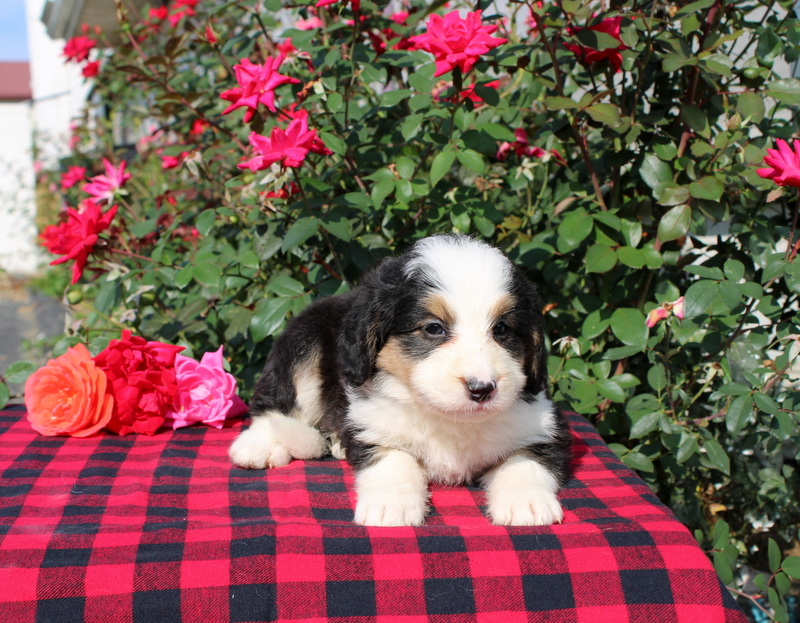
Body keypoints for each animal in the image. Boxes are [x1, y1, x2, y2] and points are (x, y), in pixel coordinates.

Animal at [228, 234, 572, 528]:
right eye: (433, 328)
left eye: (501, 329)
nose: (482, 389)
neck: (451, 421)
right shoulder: (372, 423)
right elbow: (394, 458)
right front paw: (390, 505)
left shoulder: (541, 424)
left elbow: (526, 458)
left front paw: (526, 503)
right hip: (303, 342)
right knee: (273, 402)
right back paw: (257, 445)